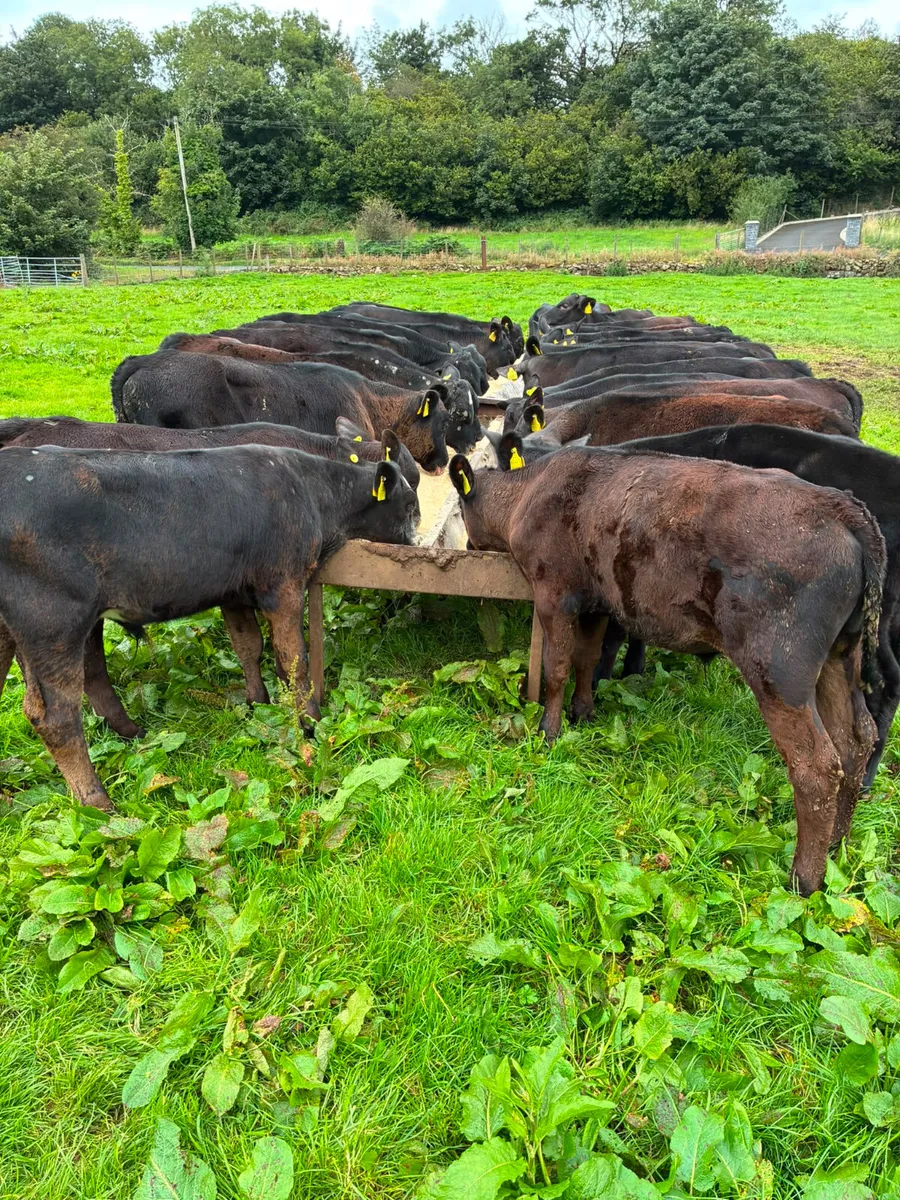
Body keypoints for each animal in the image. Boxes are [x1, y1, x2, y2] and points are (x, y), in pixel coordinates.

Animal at [0, 445, 419, 811]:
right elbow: (293, 658)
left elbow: (248, 646)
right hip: (54, 623)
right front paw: (311, 722)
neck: (311, 491)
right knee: (56, 717)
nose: (418, 544)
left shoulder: (233, 592)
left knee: (89, 679)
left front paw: (257, 704)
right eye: (410, 506)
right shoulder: (283, 584)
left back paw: (132, 733)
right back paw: (98, 803)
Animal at [449, 445, 884, 896]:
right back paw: (837, 846)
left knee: (817, 765)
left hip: (779, 668)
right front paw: (583, 712)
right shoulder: (596, 602)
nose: (467, 545)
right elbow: (587, 660)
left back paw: (805, 878)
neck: (530, 491)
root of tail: (841, 507)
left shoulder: (555, 594)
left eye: (459, 511)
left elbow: (557, 668)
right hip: (839, 655)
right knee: (856, 740)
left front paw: (549, 732)